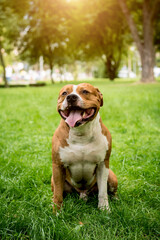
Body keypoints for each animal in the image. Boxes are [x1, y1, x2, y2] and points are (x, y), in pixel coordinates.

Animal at [51, 82, 117, 212]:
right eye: (64, 93)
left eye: (85, 91)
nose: (71, 97)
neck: (81, 134)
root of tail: (82, 192)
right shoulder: (57, 165)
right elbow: (58, 193)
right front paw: (57, 212)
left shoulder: (103, 164)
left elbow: (103, 191)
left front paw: (104, 209)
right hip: (53, 178)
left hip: (112, 177)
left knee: (111, 191)